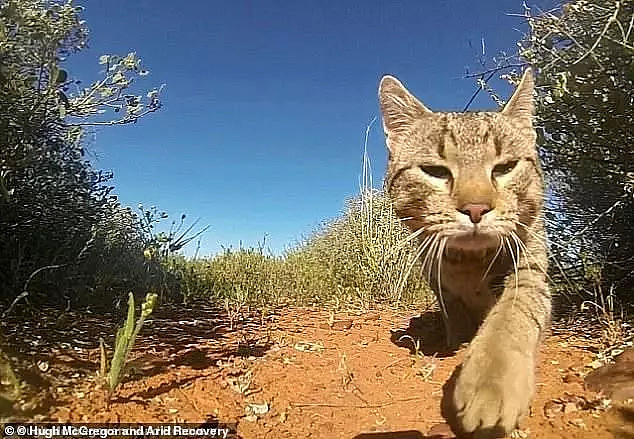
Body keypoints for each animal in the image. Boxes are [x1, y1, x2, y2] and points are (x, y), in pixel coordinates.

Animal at [376, 69, 548, 436]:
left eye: (505, 167)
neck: (469, 264)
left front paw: (490, 380)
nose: (476, 208)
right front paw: (455, 345)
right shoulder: (440, 284)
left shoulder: (530, 267)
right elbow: (453, 316)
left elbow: (512, 315)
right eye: (435, 171)